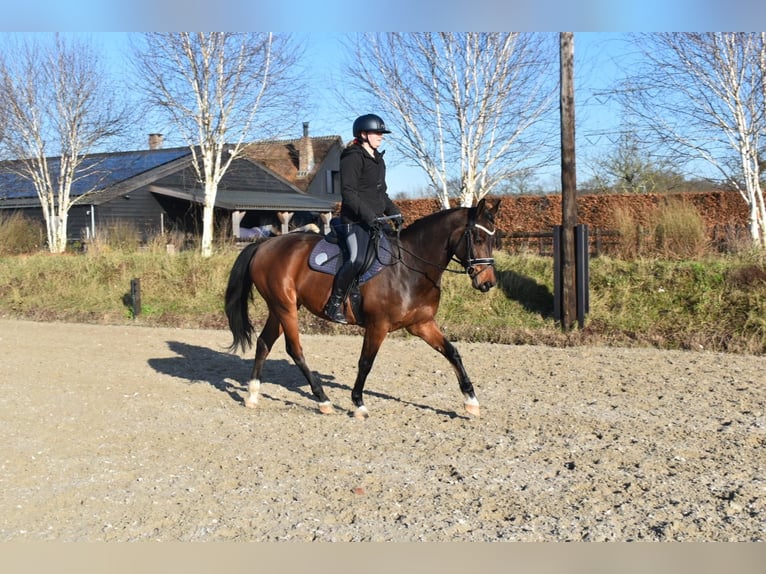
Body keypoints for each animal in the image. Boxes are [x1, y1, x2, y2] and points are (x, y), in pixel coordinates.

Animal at [225, 198, 500, 418]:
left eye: (493, 238)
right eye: (478, 238)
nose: (487, 283)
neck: (410, 268)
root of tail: (263, 245)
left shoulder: (421, 324)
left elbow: (452, 352)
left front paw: (471, 401)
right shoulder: (378, 325)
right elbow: (366, 362)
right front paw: (358, 403)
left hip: (279, 308)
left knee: (264, 343)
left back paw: (252, 395)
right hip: (285, 308)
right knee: (295, 350)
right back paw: (323, 400)